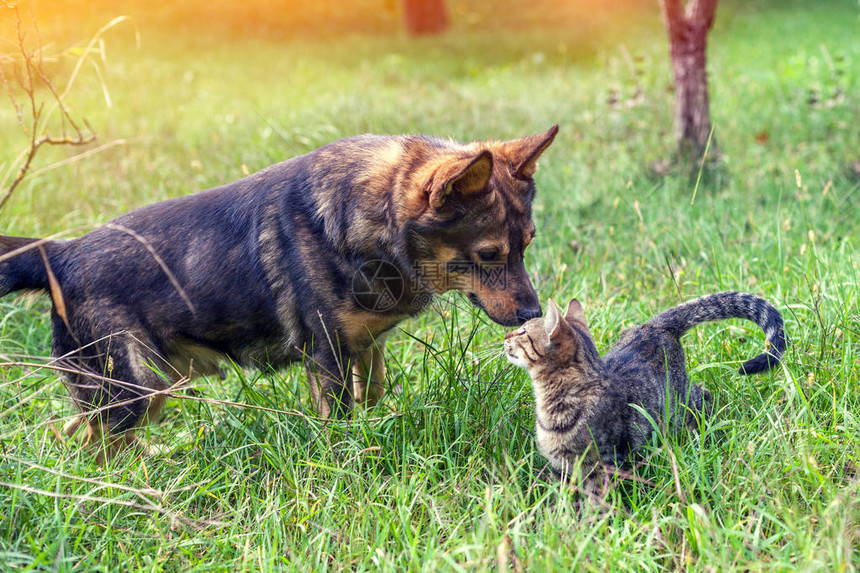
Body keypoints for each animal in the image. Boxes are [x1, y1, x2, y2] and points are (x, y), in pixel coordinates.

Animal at [0, 125, 556, 460]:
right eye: (489, 254)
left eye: (528, 244)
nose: (532, 313)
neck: (371, 219)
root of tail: (61, 256)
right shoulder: (327, 357)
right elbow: (340, 423)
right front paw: (346, 463)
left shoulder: (366, 346)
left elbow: (372, 395)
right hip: (132, 389)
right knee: (89, 441)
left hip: (148, 389)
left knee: (75, 435)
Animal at [504, 290, 792, 478]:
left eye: (523, 332)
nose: (506, 336)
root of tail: (653, 325)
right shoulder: (562, 467)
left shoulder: (606, 461)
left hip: (678, 404)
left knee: (702, 396)